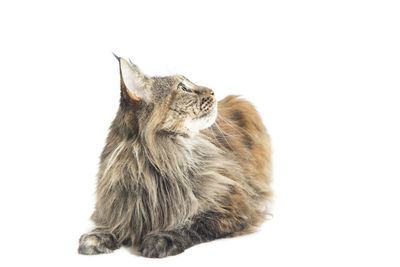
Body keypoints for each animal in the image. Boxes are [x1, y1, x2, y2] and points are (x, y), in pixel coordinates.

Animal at [78, 55, 272, 258]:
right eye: (182, 88)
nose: (212, 91)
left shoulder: (232, 206)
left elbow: (193, 223)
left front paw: (161, 238)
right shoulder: (124, 206)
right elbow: (116, 223)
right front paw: (97, 236)